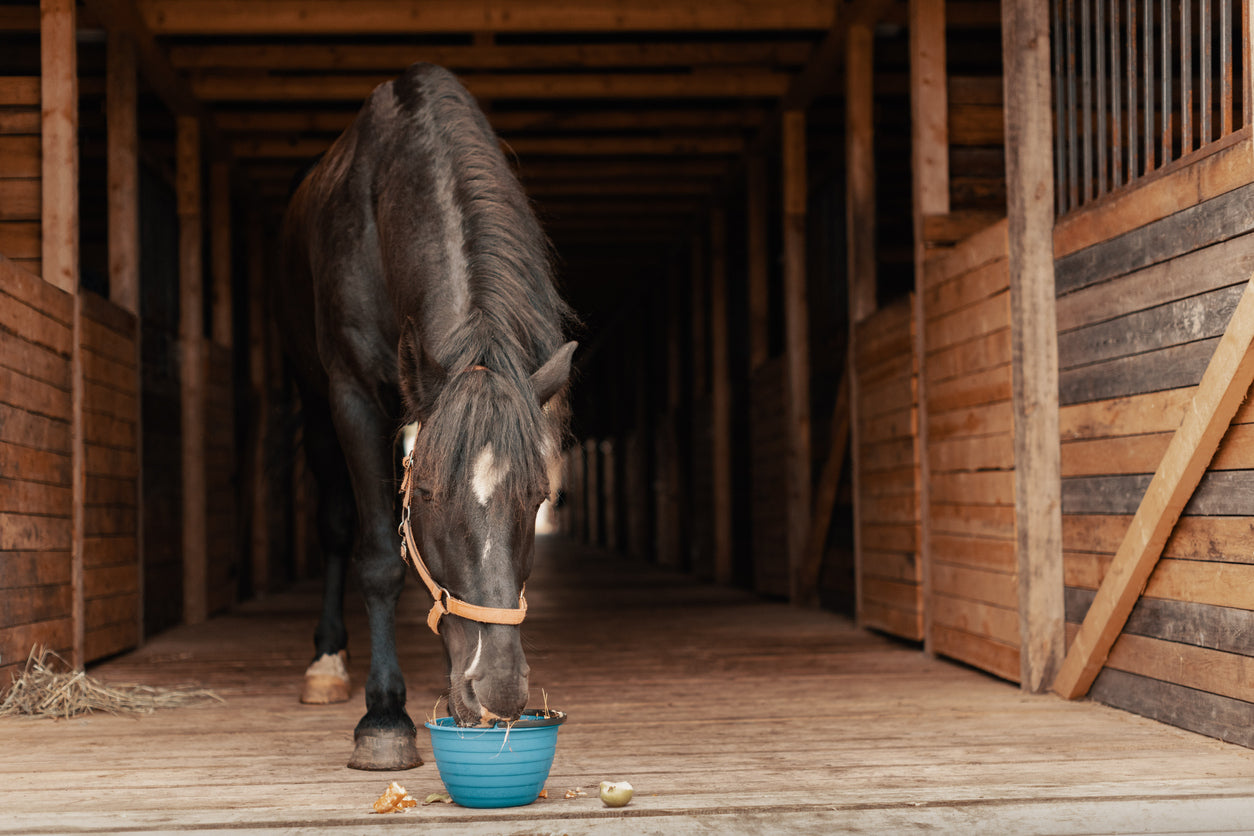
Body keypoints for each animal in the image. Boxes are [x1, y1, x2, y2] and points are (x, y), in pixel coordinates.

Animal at [277, 63, 574, 772]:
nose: (498, 691)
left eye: (539, 498)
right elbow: (380, 558)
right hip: (315, 401)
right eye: (431, 496)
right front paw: (384, 719)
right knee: (336, 524)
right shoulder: (354, 395)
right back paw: (327, 663)